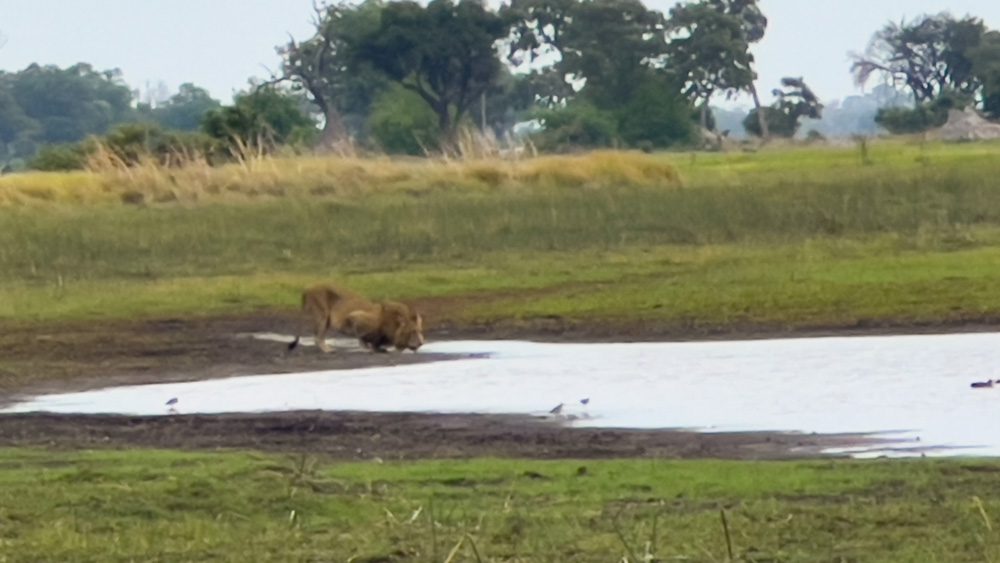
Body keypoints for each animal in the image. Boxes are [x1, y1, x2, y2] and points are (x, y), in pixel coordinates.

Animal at [288, 283, 424, 353]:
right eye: (412, 331)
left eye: (419, 331)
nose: (421, 343)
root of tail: (307, 289)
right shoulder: (356, 316)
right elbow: (361, 335)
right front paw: (366, 346)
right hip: (322, 315)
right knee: (317, 337)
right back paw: (328, 350)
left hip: (325, 319)